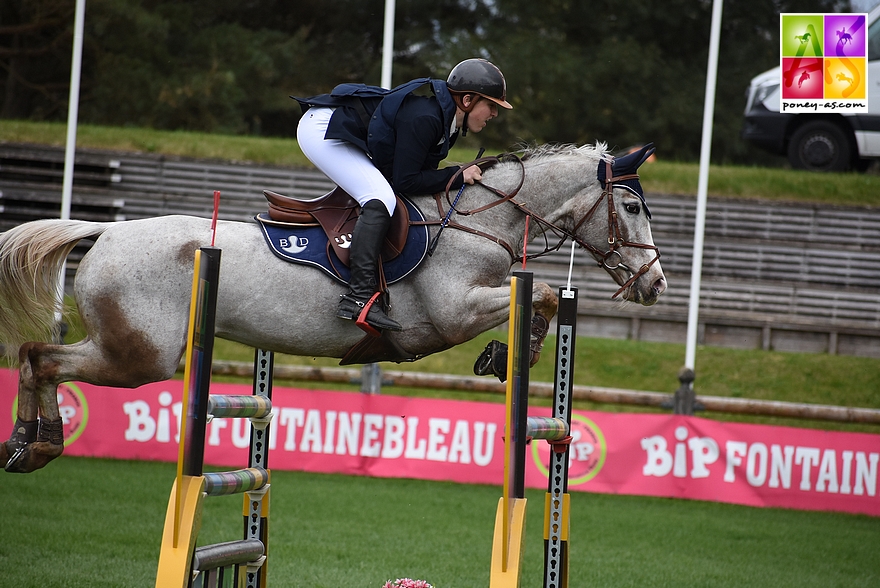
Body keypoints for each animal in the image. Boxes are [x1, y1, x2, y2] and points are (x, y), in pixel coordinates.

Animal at [0, 142, 664, 474]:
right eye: (632, 209)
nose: (655, 285)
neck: (480, 221)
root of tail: (105, 232)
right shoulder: (453, 314)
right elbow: (543, 293)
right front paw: (508, 353)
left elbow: (542, 295)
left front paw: (508, 353)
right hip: (140, 356)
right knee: (45, 358)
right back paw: (40, 443)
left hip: (125, 349)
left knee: (35, 354)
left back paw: (27, 444)